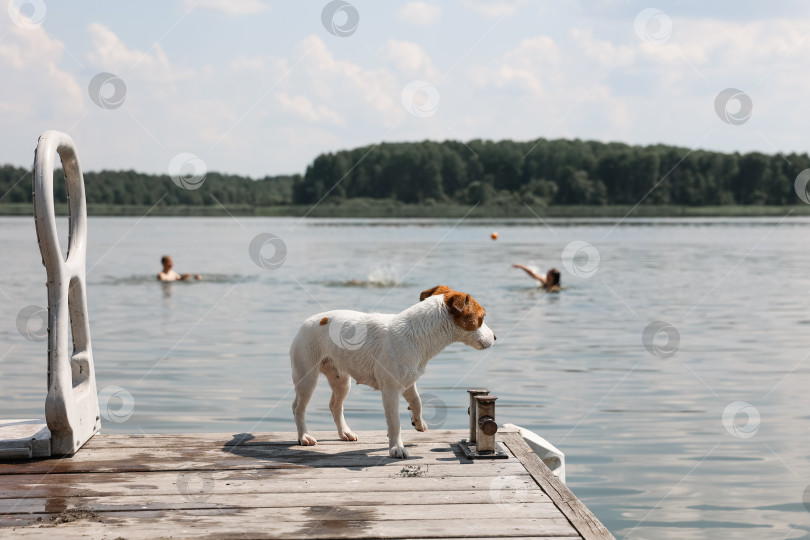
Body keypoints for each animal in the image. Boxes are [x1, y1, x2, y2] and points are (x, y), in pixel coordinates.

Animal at [288, 284, 492, 458]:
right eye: (482, 317)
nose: (495, 337)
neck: (418, 334)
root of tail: (307, 322)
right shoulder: (390, 391)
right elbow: (395, 422)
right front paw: (396, 448)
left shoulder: (408, 381)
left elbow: (417, 401)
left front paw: (418, 422)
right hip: (307, 377)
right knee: (298, 407)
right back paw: (304, 436)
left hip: (341, 380)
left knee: (335, 406)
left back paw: (344, 432)